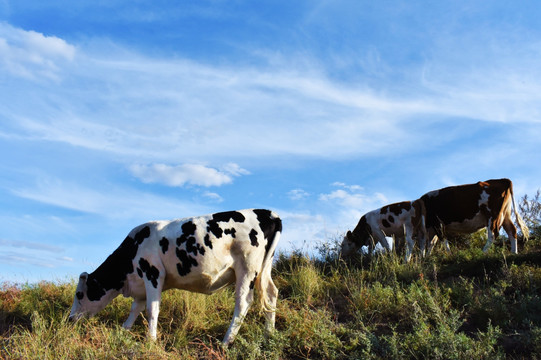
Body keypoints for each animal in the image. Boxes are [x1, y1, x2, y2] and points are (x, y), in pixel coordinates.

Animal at [69, 208, 280, 346]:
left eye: (79, 294)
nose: (70, 319)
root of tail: (267, 212)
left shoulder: (152, 273)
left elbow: (151, 309)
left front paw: (150, 339)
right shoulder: (140, 284)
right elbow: (135, 308)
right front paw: (124, 329)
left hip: (247, 267)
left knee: (243, 301)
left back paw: (226, 342)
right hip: (264, 268)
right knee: (271, 294)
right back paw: (269, 335)